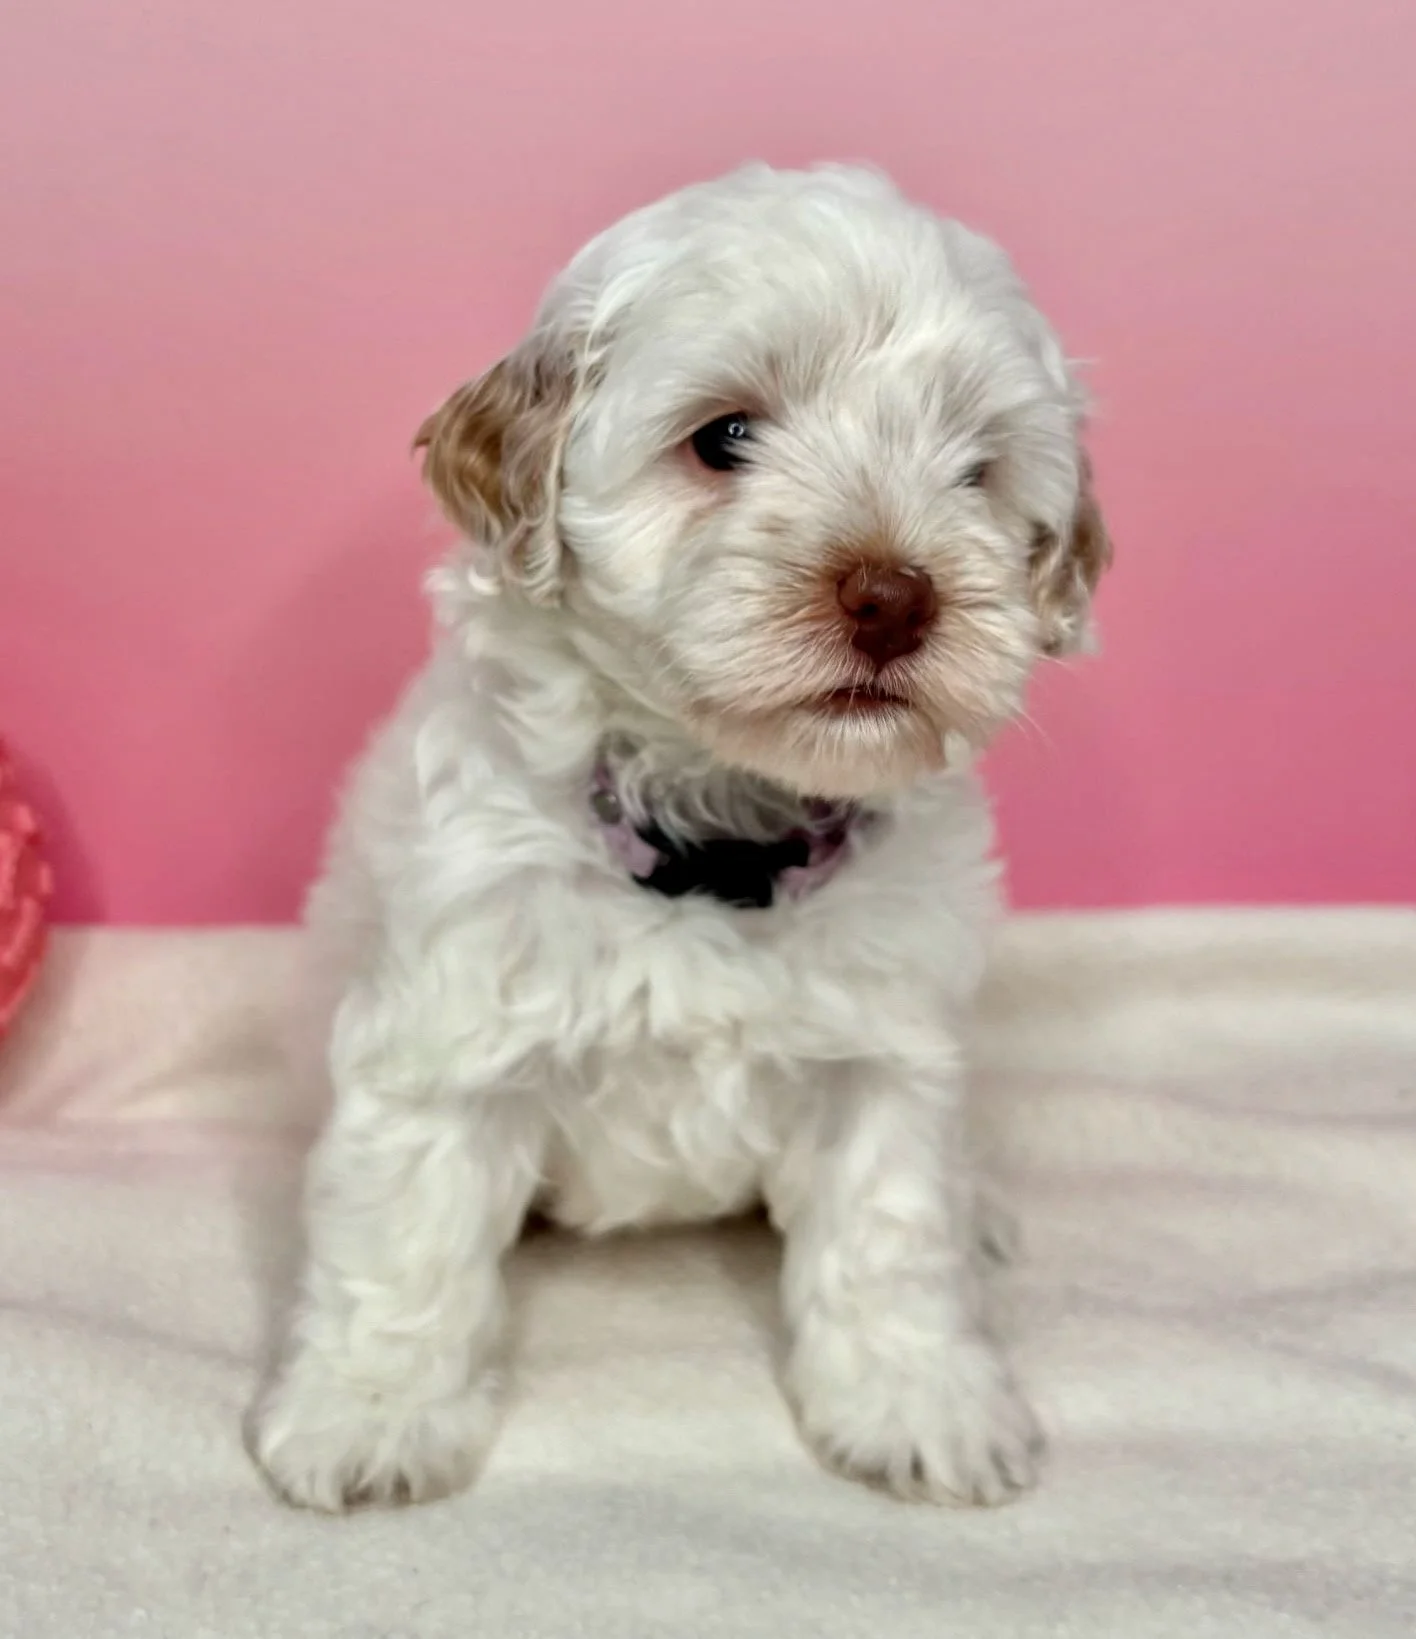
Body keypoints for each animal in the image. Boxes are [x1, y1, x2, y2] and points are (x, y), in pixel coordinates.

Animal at [249, 163, 1110, 1513]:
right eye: (725, 438)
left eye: (975, 469)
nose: (894, 596)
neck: (720, 842)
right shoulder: (446, 1031)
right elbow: (407, 1237)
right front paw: (369, 1415)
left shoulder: (884, 1056)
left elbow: (891, 1234)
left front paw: (922, 1400)